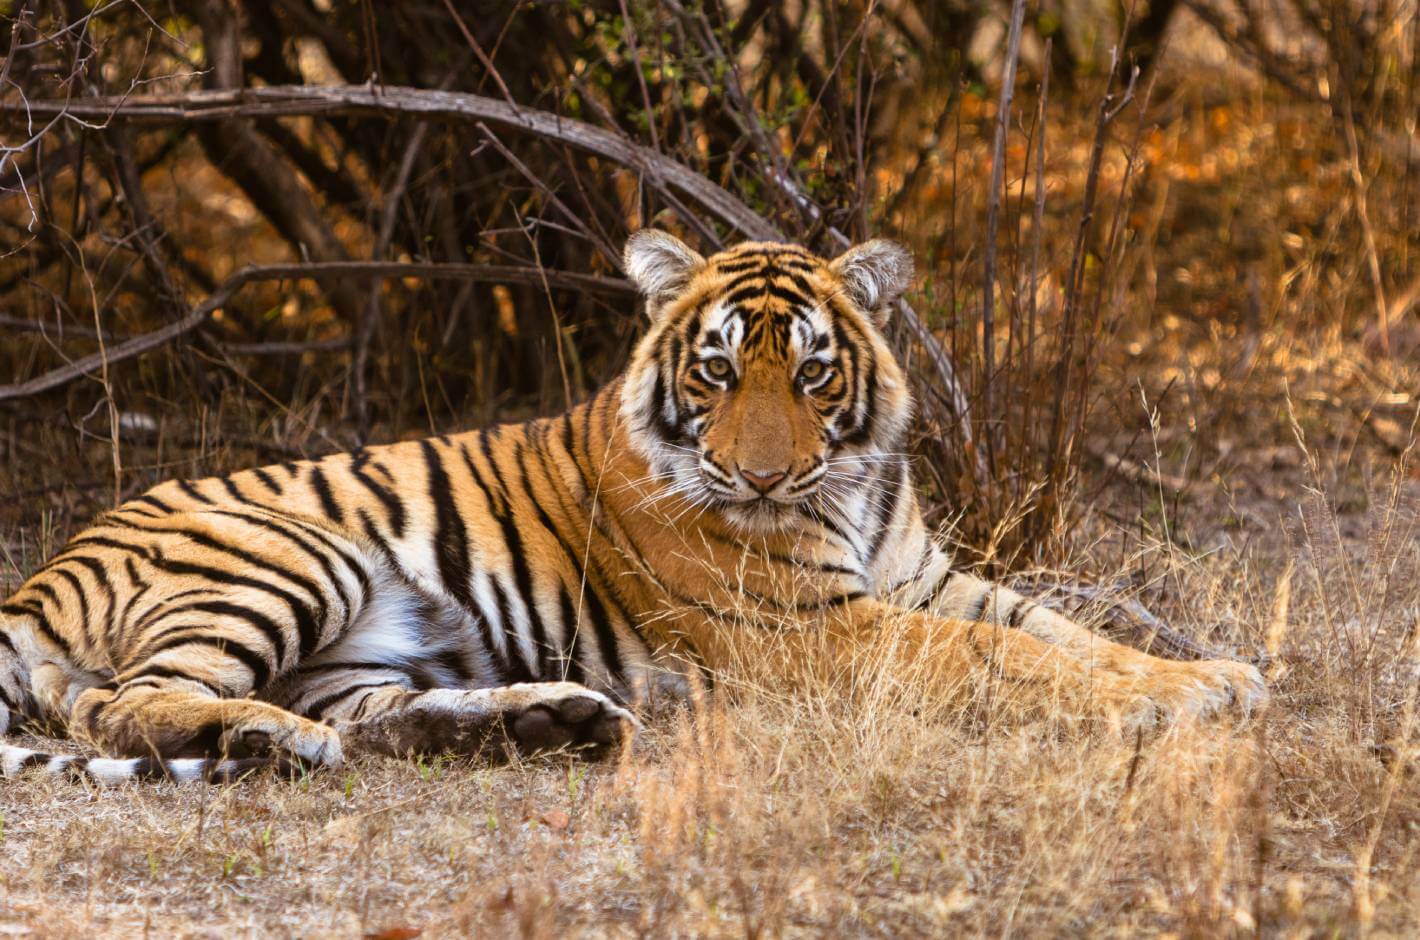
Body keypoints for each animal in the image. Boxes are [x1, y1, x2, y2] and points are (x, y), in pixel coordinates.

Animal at [0, 230, 1266, 789]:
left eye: (813, 374)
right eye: (715, 371)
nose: (761, 480)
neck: (850, 486)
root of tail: (37, 576)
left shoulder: (924, 579)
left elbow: (1059, 629)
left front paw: (1215, 670)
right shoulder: (816, 629)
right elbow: (1007, 657)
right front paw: (1179, 695)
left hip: (360, 648)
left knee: (375, 722)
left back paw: (540, 723)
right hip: (287, 557)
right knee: (122, 704)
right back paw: (273, 740)